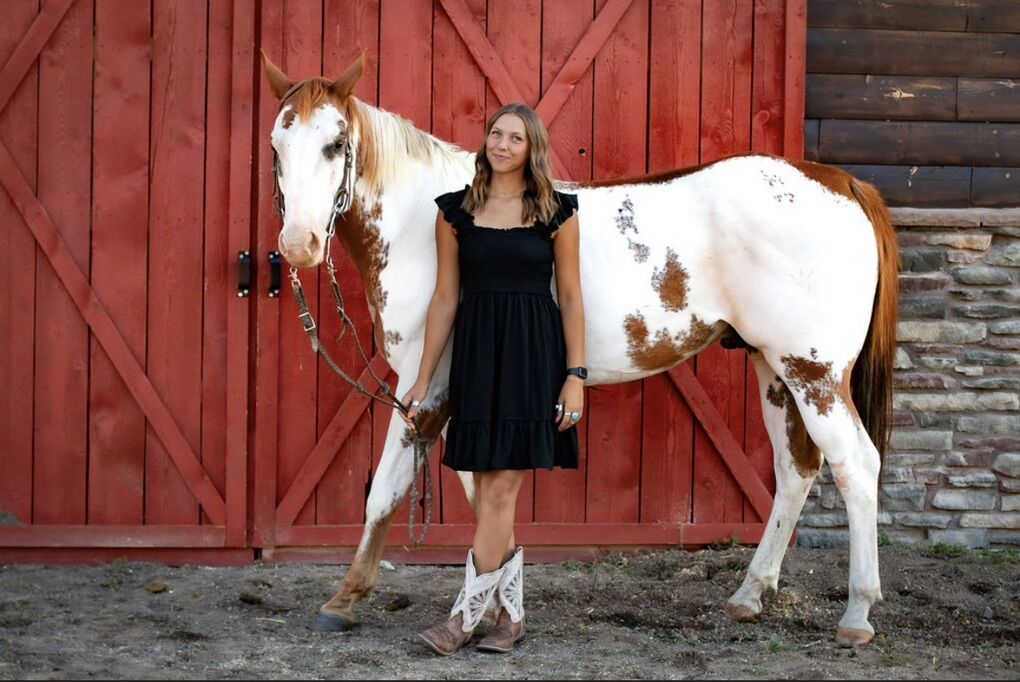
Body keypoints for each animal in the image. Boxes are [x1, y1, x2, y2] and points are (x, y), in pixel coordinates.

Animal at [260, 52, 899, 647]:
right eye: (276, 144)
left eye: (335, 144)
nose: (298, 245)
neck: (424, 221)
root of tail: (843, 183)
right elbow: (476, 491)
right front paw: (491, 598)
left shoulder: (426, 382)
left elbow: (387, 491)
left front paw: (346, 598)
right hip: (774, 367)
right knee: (795, 469)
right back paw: (749, 594)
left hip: (813, 371)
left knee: (856, 465)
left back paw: (858, 613)